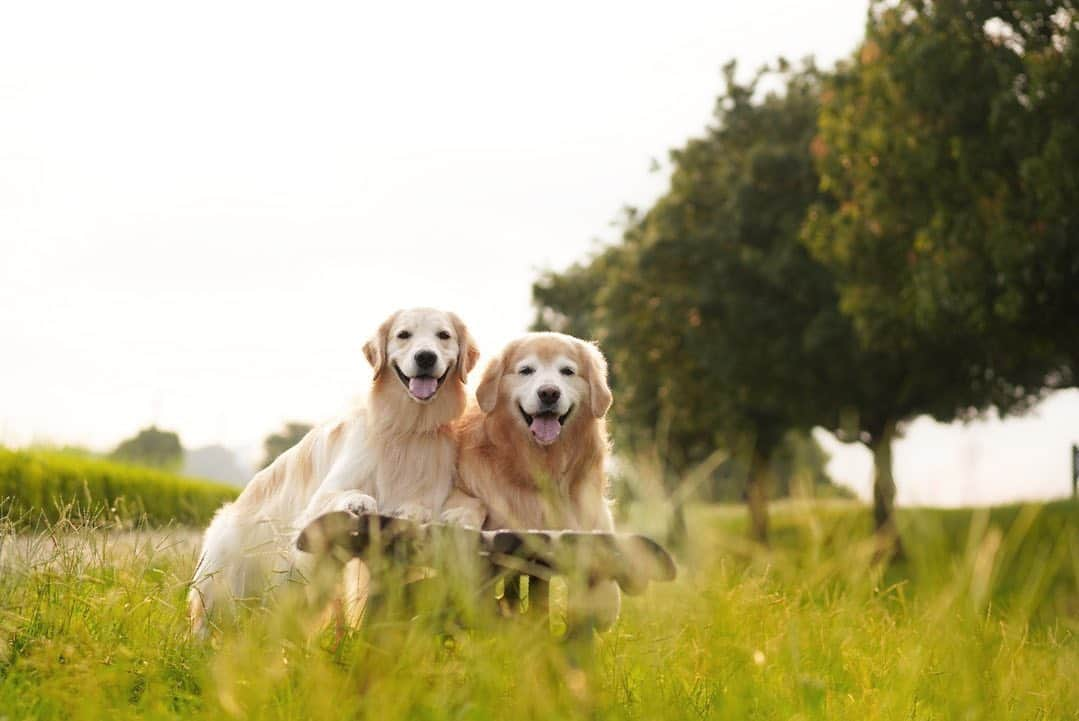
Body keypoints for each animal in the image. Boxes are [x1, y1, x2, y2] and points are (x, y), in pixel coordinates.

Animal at [188, 306, 476, 634]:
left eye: (444, 335)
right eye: (403, 335)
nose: (425, 357)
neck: (407, 429)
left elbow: (430, 507)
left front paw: (416, 510)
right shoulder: (318, 503)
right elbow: (345, 494)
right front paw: (359, 500)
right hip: (222, 584)